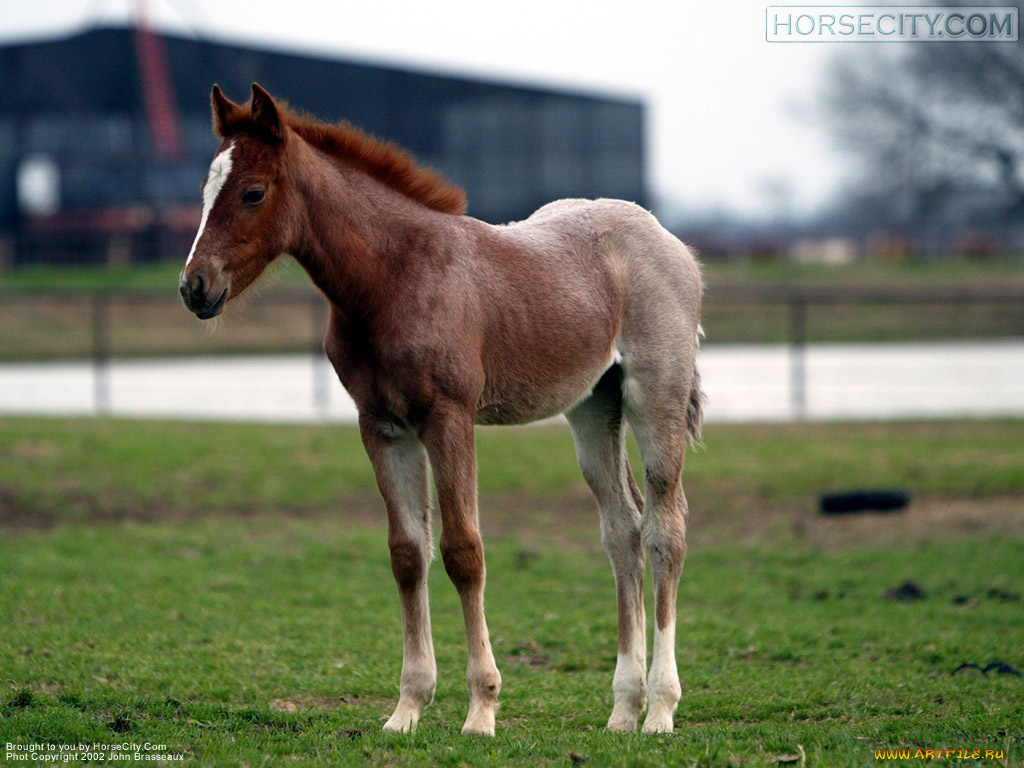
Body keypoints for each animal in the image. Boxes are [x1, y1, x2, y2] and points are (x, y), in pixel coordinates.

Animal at [180, 83, 704, 741]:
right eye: (204, 189)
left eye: (252, 192)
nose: (194, 287)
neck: (393, 277)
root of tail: (673, 243)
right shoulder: (381, 425)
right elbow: (408, 552)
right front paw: (407, 708)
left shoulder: (449, 418)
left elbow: (463, 551)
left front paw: (481, 710)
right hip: (592, 409)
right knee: (623, 530)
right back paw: (622, 710)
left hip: (655, 397)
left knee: (665, 531)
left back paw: (660, 709)